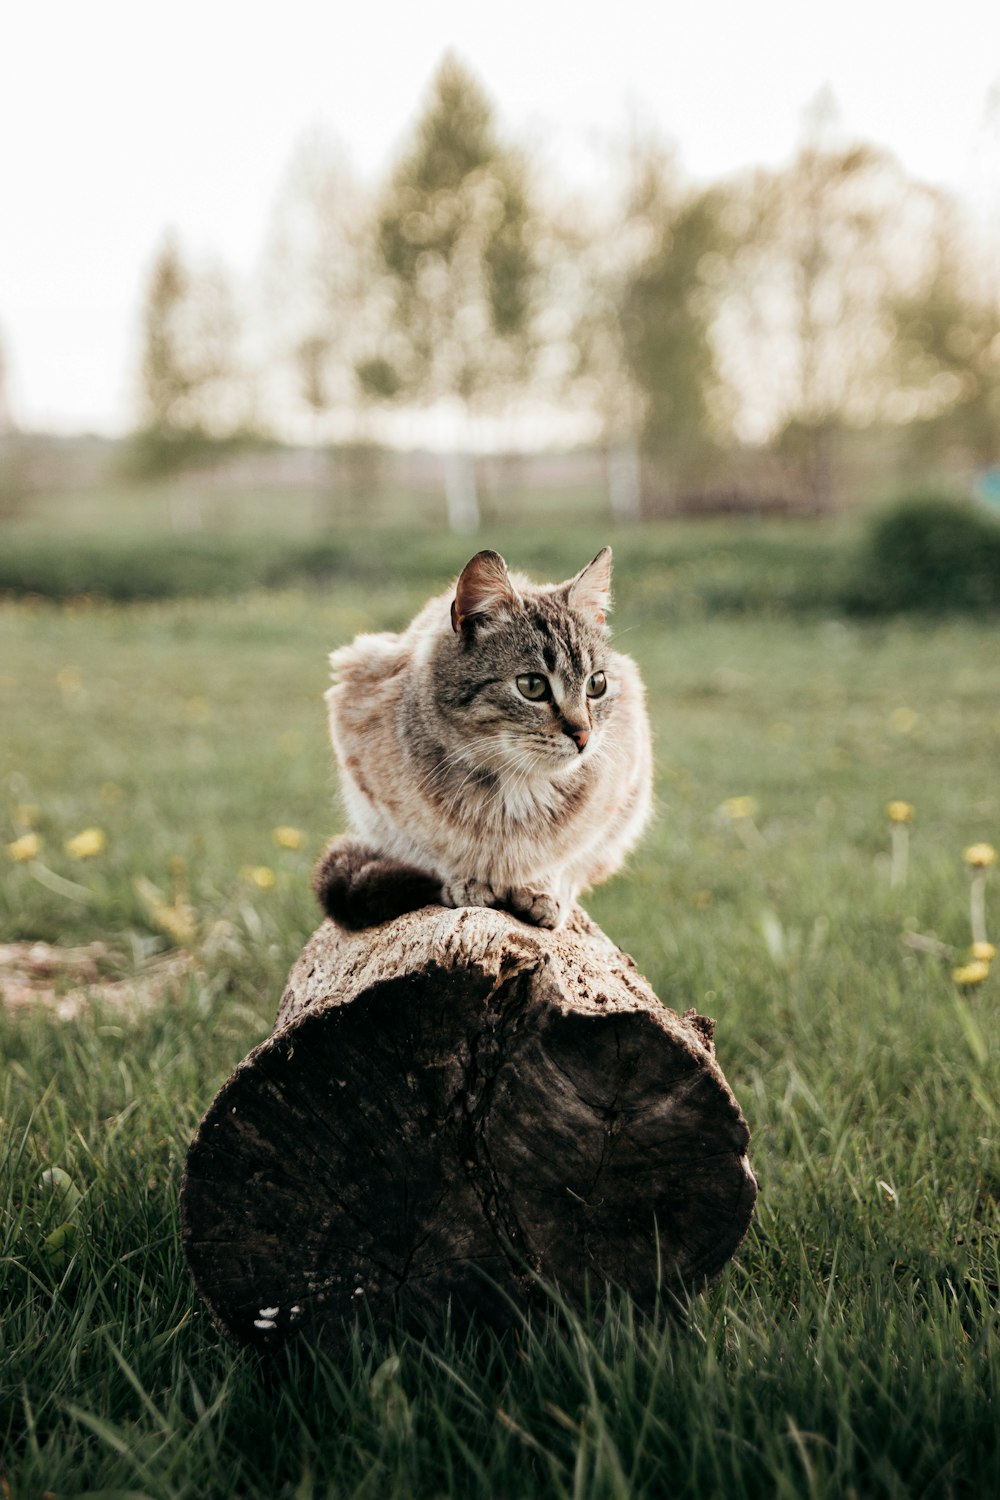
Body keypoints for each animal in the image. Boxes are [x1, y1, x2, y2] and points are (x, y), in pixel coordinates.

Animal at [314, 546, 656, 930]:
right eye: (532, 686)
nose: (583, 735)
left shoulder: (623, 795)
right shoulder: (372, 787)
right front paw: (466, 877)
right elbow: (429, 846)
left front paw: (542, 887)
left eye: (596, 684)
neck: (517, 788)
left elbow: (568, 856)